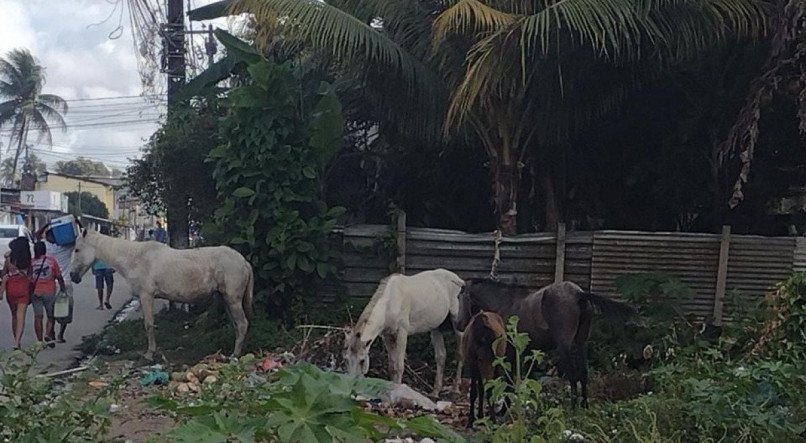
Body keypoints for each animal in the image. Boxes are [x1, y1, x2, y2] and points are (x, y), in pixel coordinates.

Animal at [69, 225, 254, 360]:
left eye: (77, 249)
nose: (72, 276)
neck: (134, 258)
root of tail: (244, 261)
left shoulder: (146, 296)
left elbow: (149, 325)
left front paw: (150, 354)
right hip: (226, 299)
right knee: (238, 325)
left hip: (232, 299)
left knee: (242, 324)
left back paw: (235, 355)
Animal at [342, 268, 468, 398]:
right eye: (345, 359)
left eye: (362, 360)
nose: (351, 387)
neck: (390, 302)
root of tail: (460, 280)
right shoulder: (387, 335)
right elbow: (392, 366)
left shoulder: (402, 333)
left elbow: (399, 366)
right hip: (436, 327)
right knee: (441, 356)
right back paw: (435, 392)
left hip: (457, 324)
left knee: (460, 354)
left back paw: (455, 390)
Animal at [458, 280, 636, 408]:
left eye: (459, 297)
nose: (459, 324)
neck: (505, 303)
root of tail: (578, 293)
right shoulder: (526, 353)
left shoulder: (509, 353)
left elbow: (510, 381)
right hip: (580, 343)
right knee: (583, 374)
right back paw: (584, 406)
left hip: (564, 346)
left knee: (573, 375)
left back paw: (573, 408)